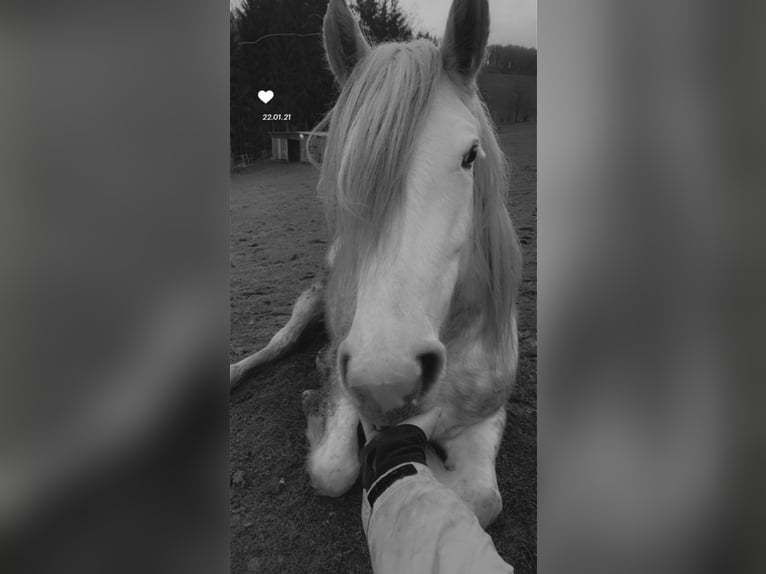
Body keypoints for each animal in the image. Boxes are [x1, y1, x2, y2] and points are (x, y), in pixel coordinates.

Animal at [230, 0, 522, 528]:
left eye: (471, 155)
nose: (388, 377)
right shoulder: (352, 391)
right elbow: (334, 468)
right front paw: (316, 401)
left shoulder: (489, 411)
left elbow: (481, 498)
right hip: (309, 302)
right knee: (280, 342)